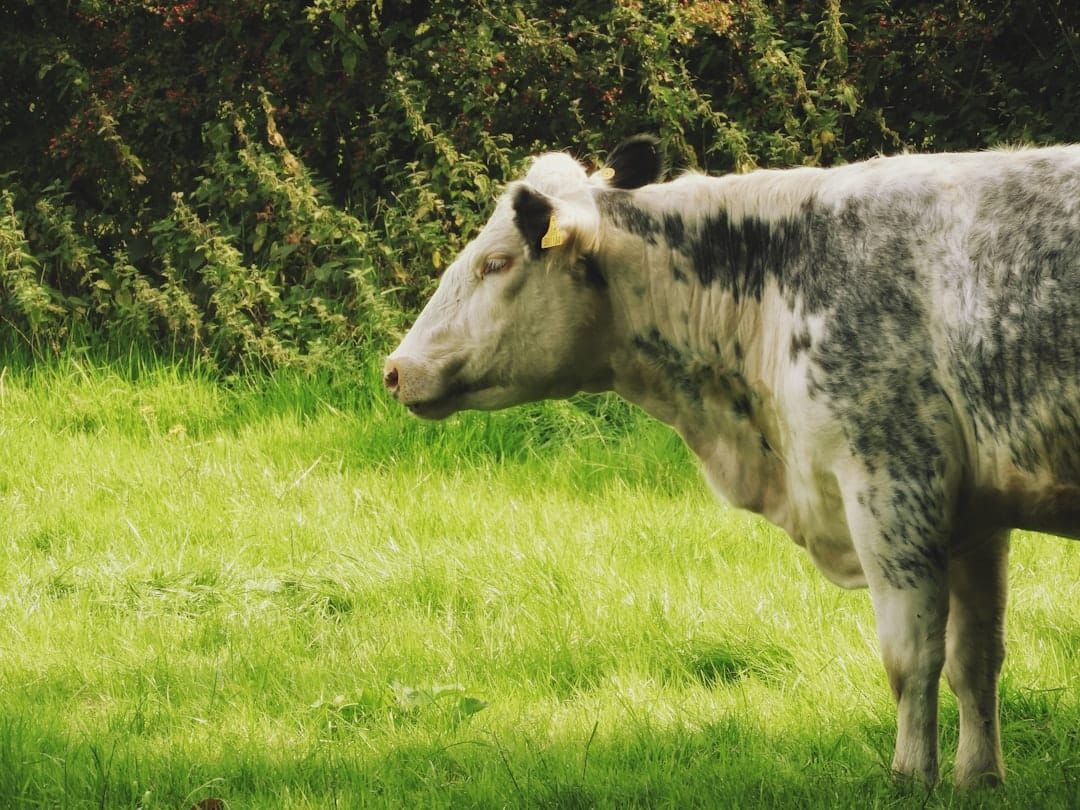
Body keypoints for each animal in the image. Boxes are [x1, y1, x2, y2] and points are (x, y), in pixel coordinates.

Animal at [383, 135, 1080, 787]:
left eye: (495, 263)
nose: (395, 370)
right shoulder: (977, 516)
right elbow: (976, 660)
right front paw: (980, 777)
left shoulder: (895, 483)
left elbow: (911, 660)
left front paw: (911, 778)